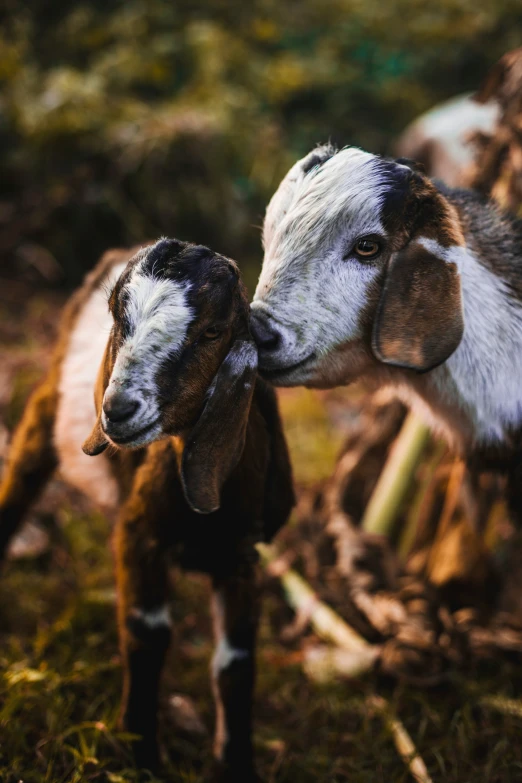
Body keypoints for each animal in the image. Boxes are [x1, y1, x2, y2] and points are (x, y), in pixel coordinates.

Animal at [0, 237, 292, 776]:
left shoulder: (243, 557)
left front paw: (236, 764)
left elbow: (236, 662)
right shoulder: (140, 535)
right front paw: (138, 755)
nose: (117, 411)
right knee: (20, 483)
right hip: (47, 409)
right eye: (120, 319)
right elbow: (147, 632)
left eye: (213, 330)